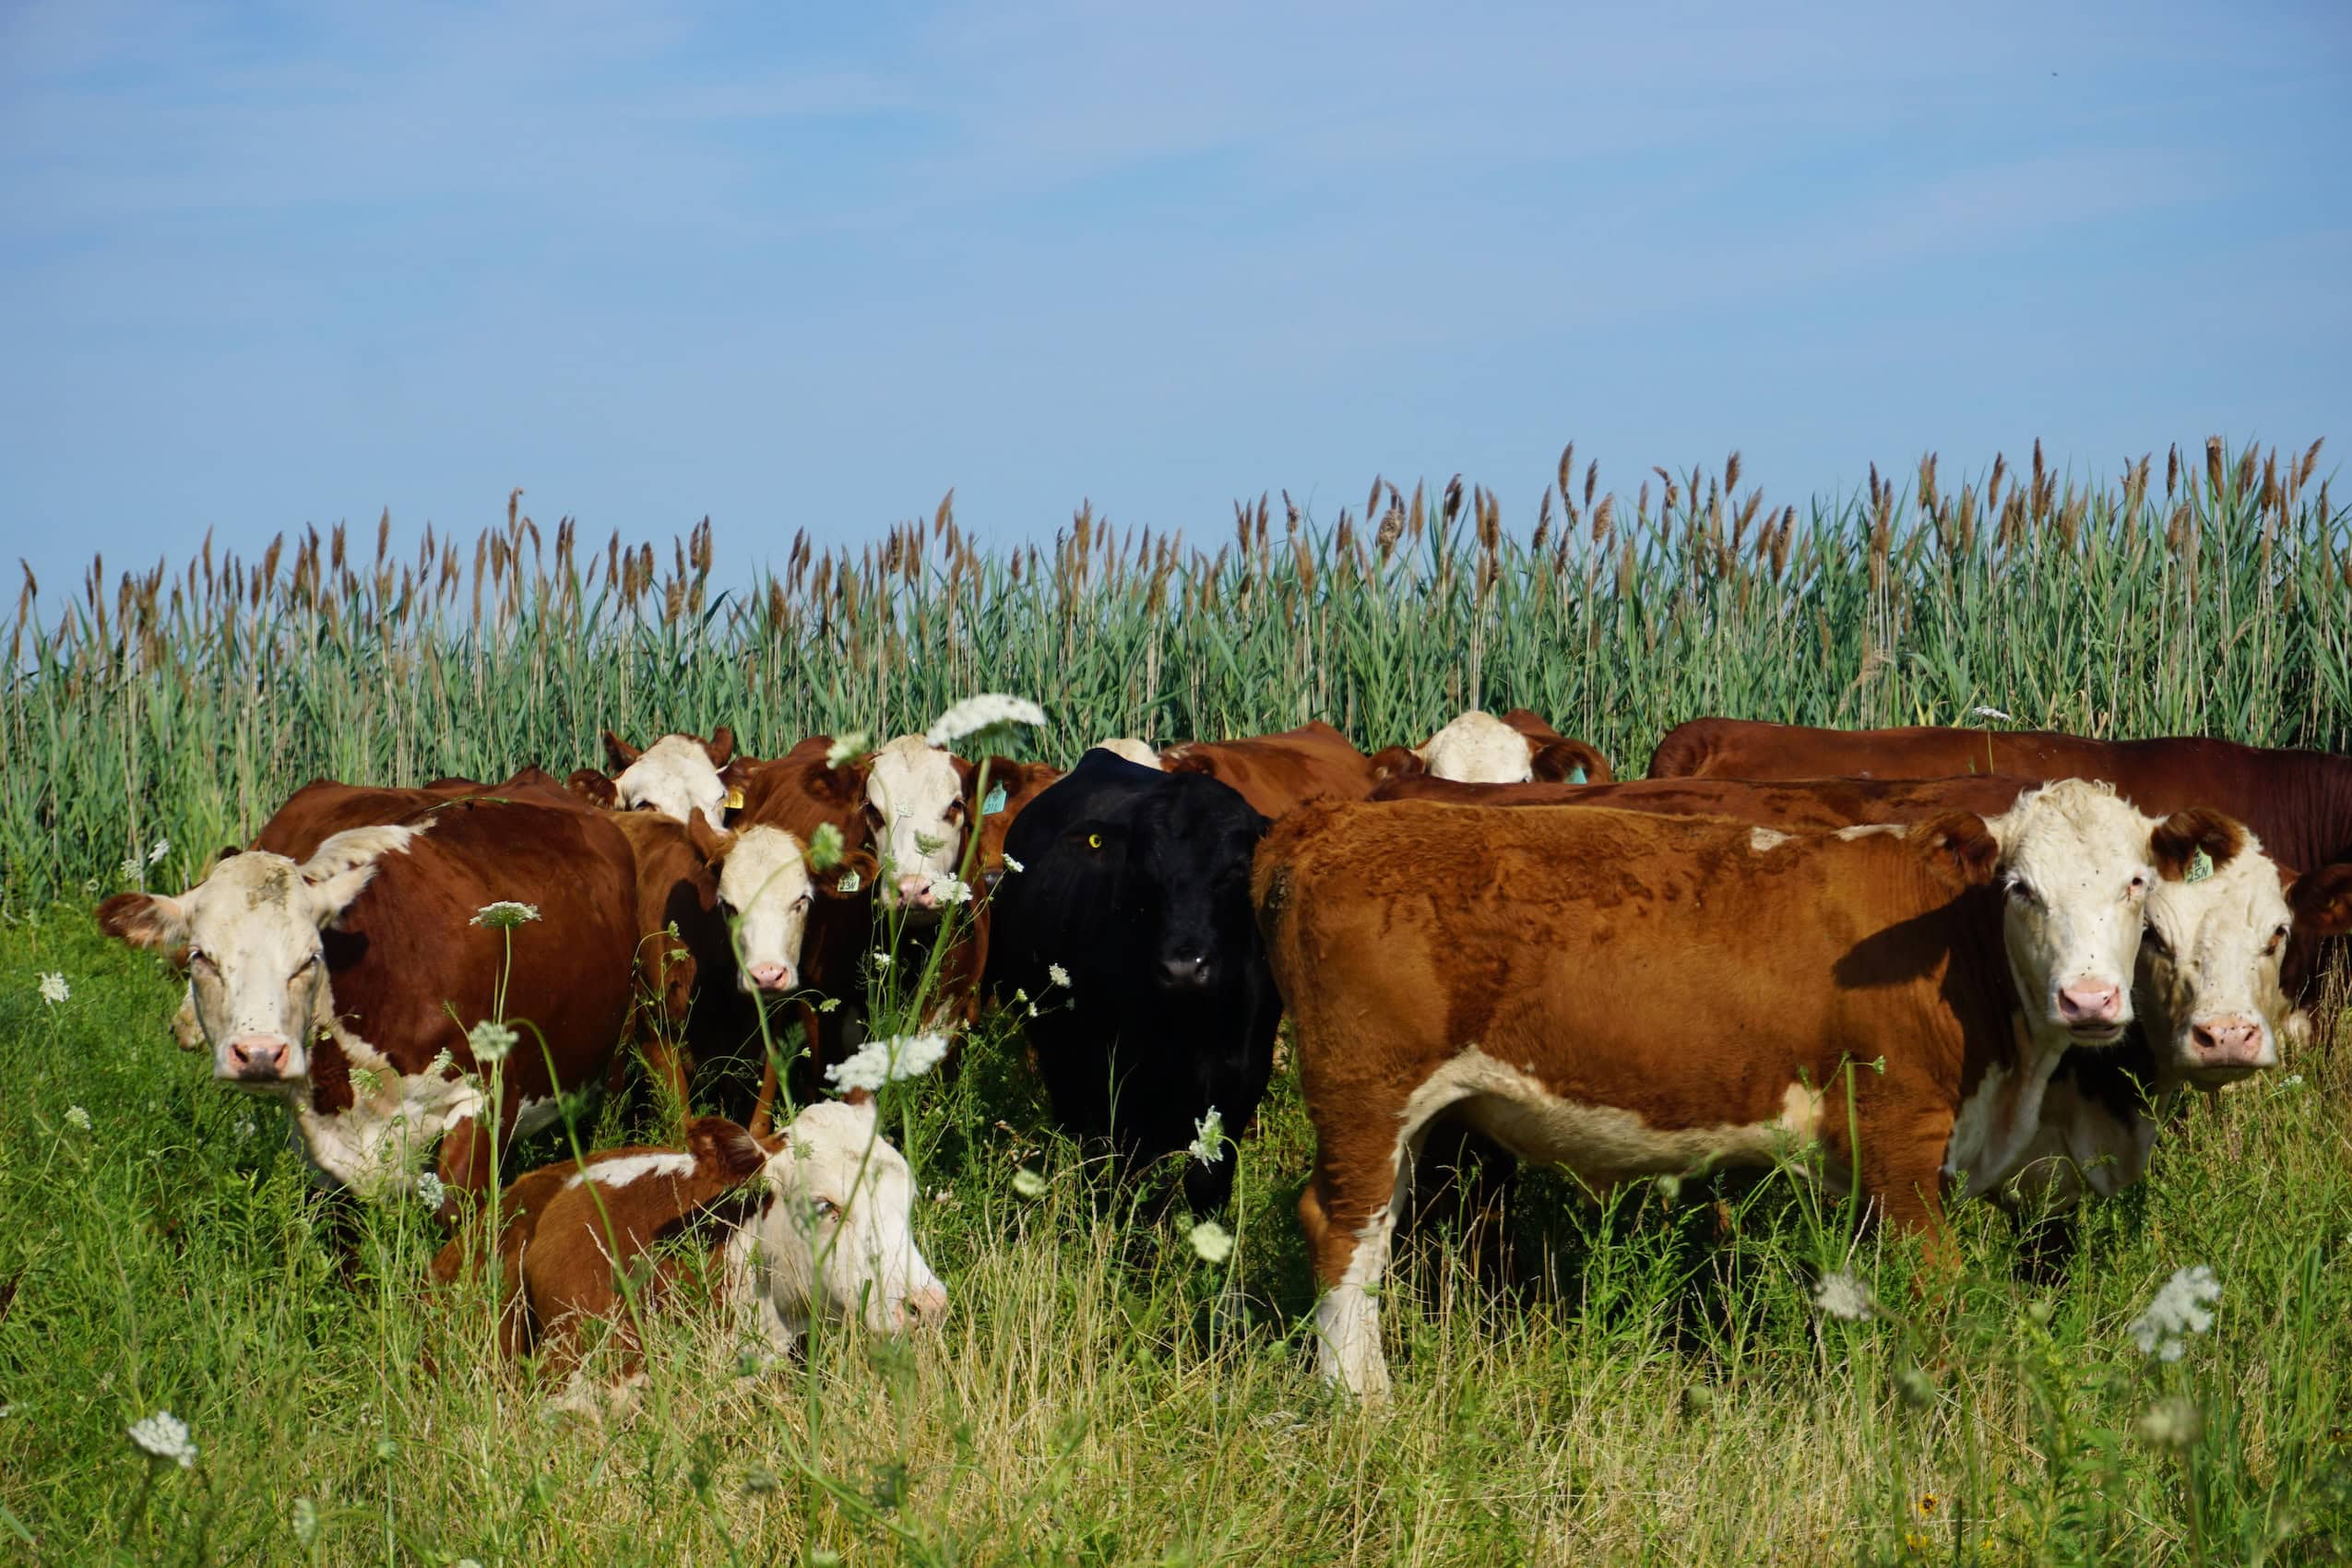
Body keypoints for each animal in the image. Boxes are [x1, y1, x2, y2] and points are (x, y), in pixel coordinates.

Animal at [986, 749, 1281, 1210]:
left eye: (1236, 868)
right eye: (1143, 868)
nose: (1183, 968)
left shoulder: (1243, 1075)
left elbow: (1207, 1182)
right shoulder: (1116, 1077)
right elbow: (1128, 1175)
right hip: (1058, 1050)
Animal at [1254, 779, 2190, 1394]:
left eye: (2136, 883)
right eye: (2021, 888)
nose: (2089, 999)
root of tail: (1339, 819)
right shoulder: (1900, 1140)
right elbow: (1935, 1286)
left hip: (1403, 1120)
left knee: (1372, 1232)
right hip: (1365, 1095)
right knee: (1344, 1232)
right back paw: (1361, 1403)